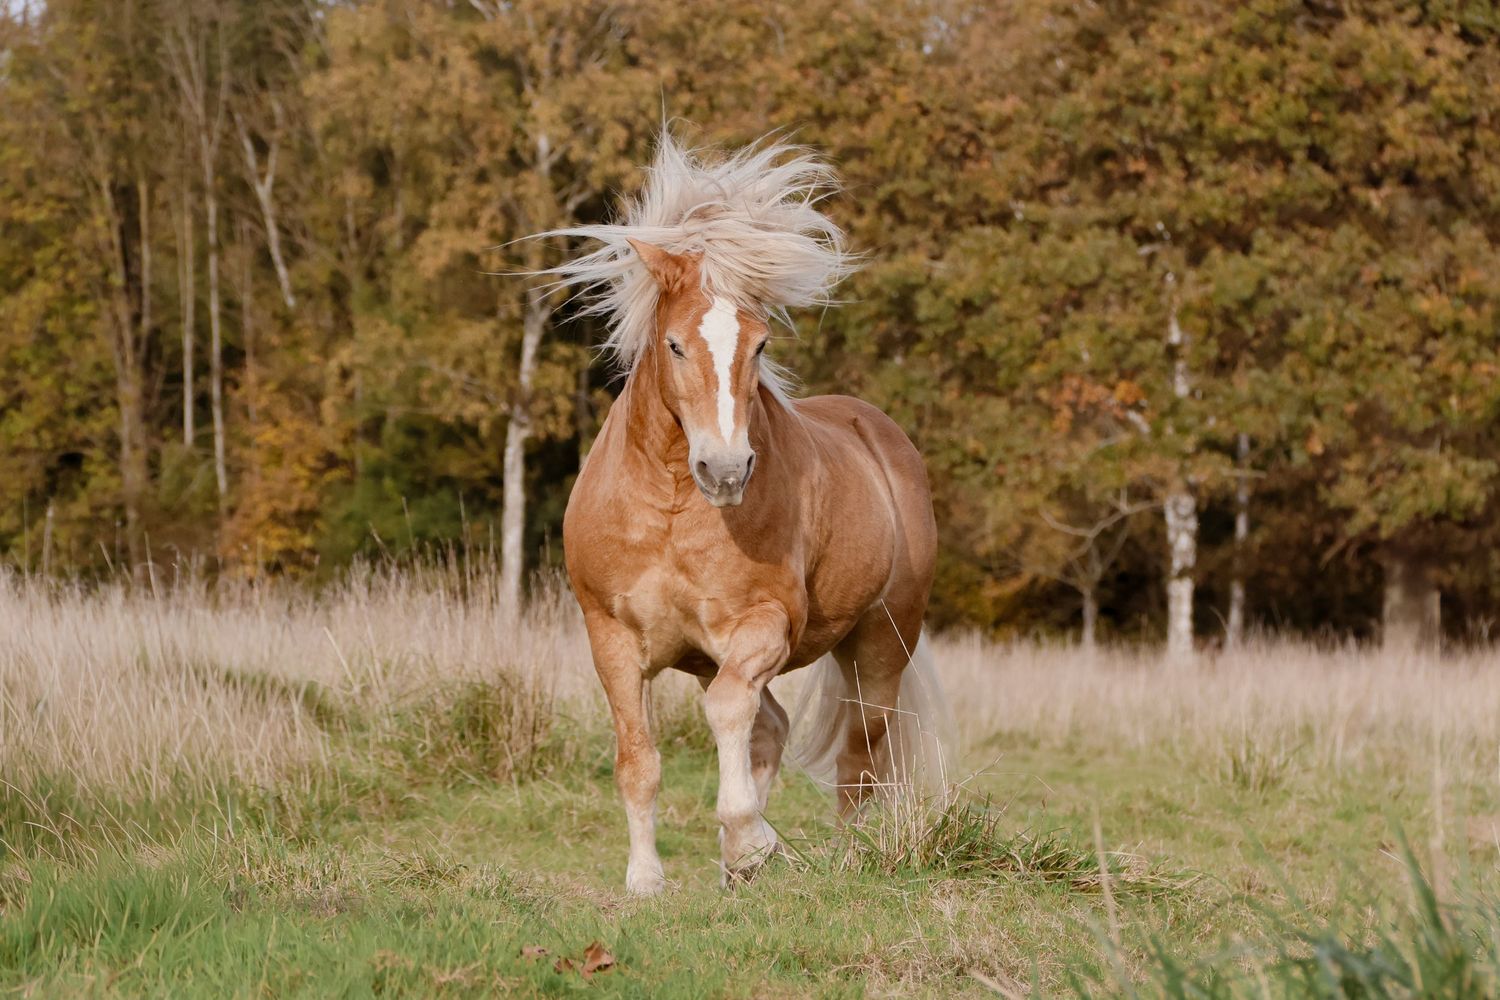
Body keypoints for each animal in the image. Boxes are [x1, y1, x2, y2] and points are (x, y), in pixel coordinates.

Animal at [539, 133, 945, 894]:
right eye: (674, 344)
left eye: (759, 346)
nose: (725, 471)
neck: (669, 509)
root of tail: (881, 436)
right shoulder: (612, 640)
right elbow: (640, 761)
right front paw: (648, 878)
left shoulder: (763, 623)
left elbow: (728, 711)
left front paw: (750, 841)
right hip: (712, 654)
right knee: (774, 727)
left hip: (881, 641)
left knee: (857, 757)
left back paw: (844, 857)